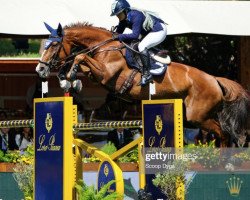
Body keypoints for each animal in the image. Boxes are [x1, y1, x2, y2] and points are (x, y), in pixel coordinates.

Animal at [36, 22, 249, 147]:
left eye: (53, 45)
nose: (40, 70)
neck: (105, 47)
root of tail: (214, 79)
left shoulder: (106, 74)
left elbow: (80, 57)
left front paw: (71, 77)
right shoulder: (99, 75)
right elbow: (79, 63)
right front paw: (68, 80)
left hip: (197, 116)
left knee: (222, 133)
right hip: (195, 115)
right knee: (221, 133)